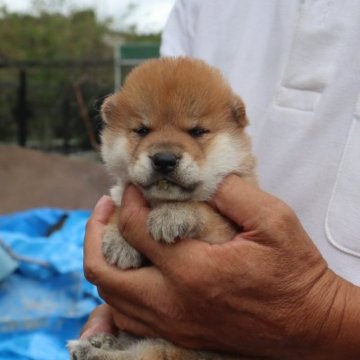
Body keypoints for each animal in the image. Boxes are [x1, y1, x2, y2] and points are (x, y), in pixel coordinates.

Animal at [68, 57, 256, 360]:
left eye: (197, 132)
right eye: (142, 130)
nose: (164, 159)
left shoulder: (227, 230)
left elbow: (205, 211)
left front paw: (172, 215)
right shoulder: (121, 193)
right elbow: (119, 207)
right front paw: (120, 241)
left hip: (176, 349)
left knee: (141, 354)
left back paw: (94, 350)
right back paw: (99, 342)